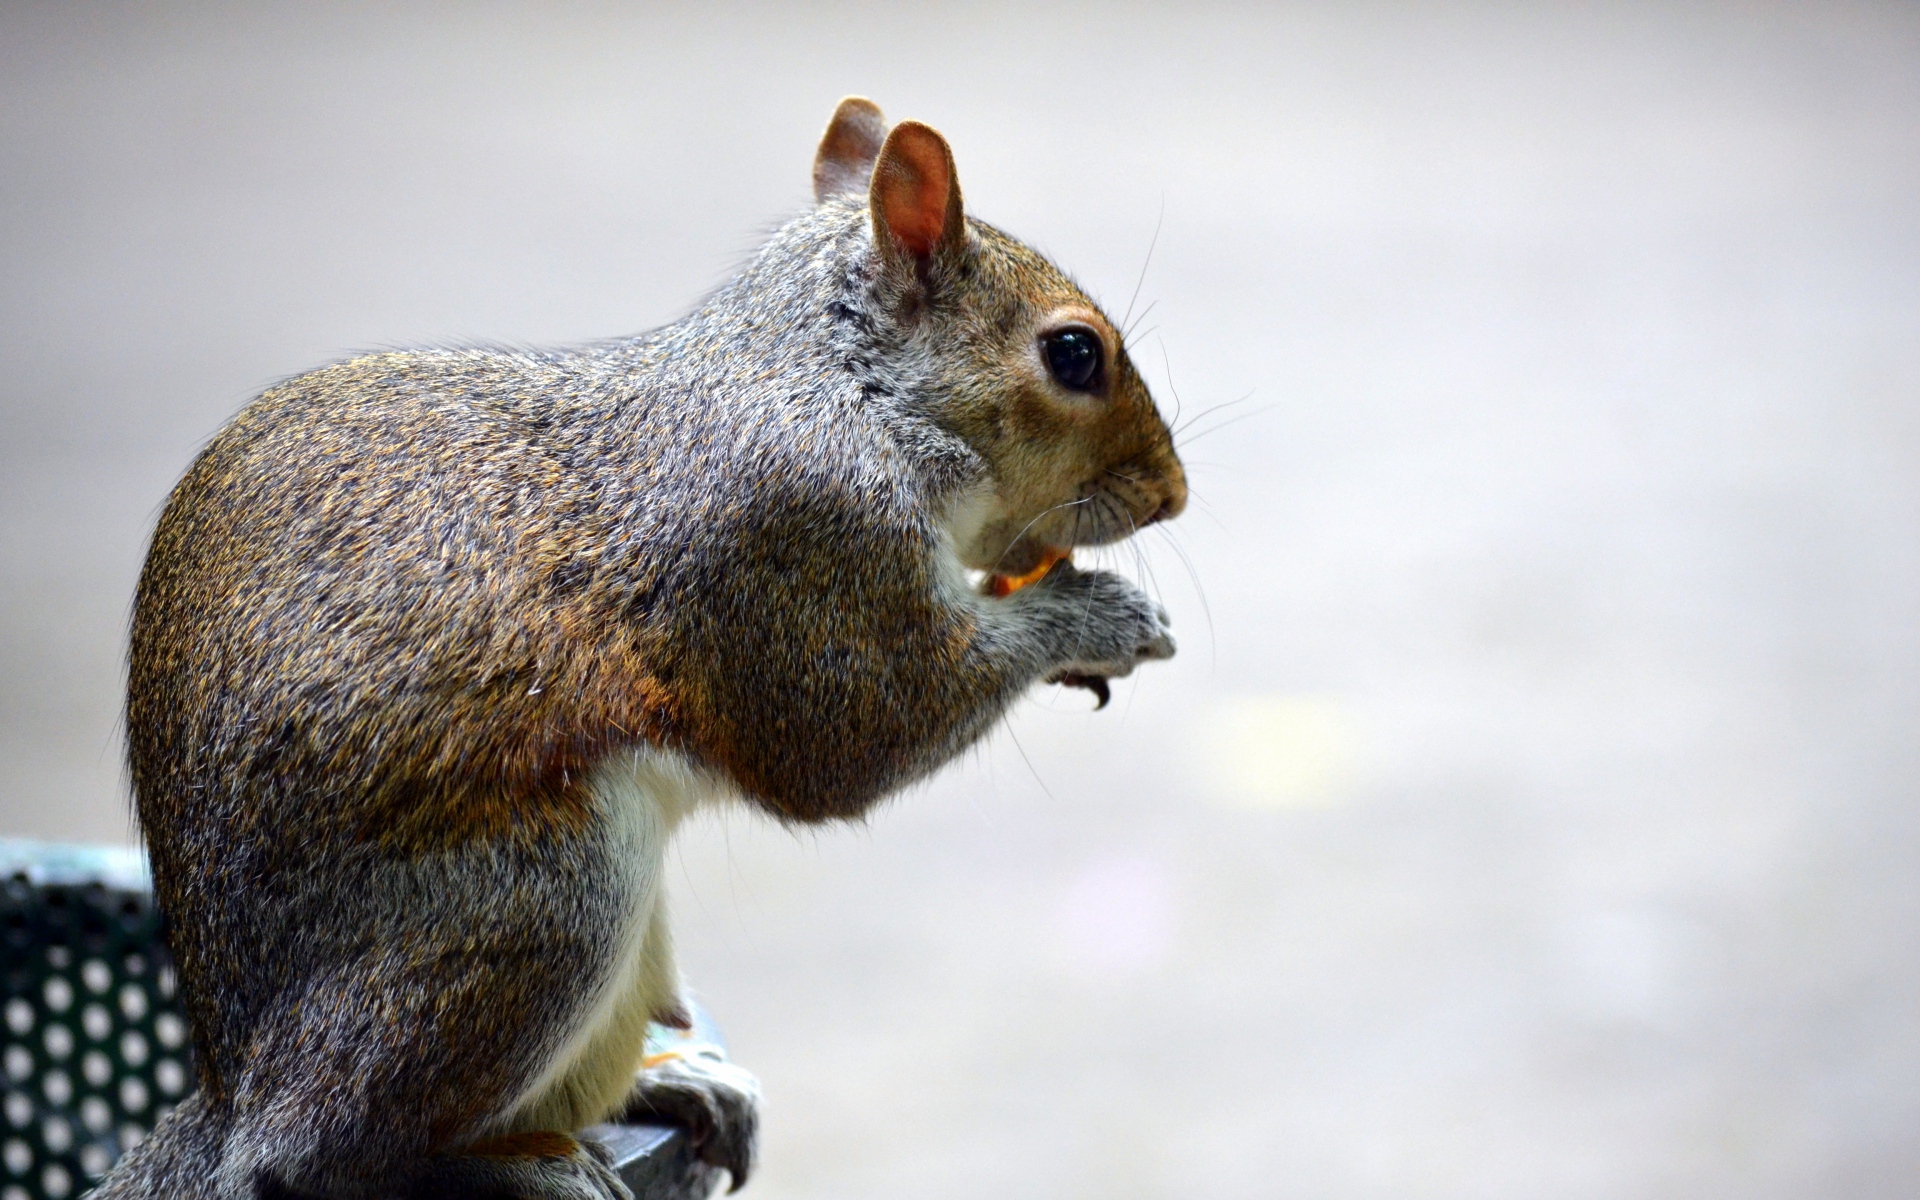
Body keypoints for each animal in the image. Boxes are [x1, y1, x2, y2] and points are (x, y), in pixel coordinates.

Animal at [104, 97, 1186, 1200]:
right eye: (1074, 354)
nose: (1171, 493)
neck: (850, 392)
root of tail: (235, 1090)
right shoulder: (799, 544)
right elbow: (851, 738)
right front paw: (1095, 618)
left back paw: (671, 1084)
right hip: (543, 899)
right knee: (318, 1158)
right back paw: (515, 1169)